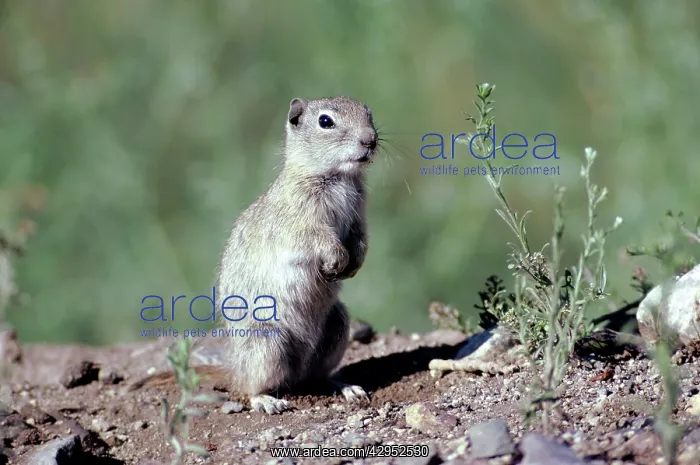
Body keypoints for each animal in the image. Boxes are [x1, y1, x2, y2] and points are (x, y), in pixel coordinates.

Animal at [131, 96, 379, 414]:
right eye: (326, 121)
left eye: (368, 112)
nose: (370, 139)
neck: (336, 177)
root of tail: (234, 371)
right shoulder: (299, 222)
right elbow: (317, 239)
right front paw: (337, 259)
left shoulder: (359, 218)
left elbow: (360, 241)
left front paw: (353, 264)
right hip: (265, 342)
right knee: (252, 388)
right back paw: (267, 401)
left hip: (337, 326)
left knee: (316, 377)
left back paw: (346, 387)